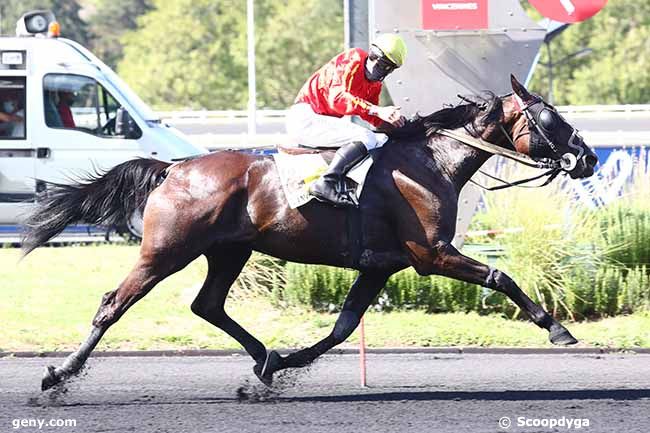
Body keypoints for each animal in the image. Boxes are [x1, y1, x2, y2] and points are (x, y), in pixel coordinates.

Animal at [26, 76, 596, 390]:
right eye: (551, 118)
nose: (587, 157)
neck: (430, 161)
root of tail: (176, 167)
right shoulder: (431, 254)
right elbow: (501, 276)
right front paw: (557, 328)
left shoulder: (379, 265)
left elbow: (342, 329)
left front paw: (286, 362)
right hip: (166, 250)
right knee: (113, 303)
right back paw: (60, 374)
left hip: (228, 252)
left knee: (208, 306)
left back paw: (265, 358)